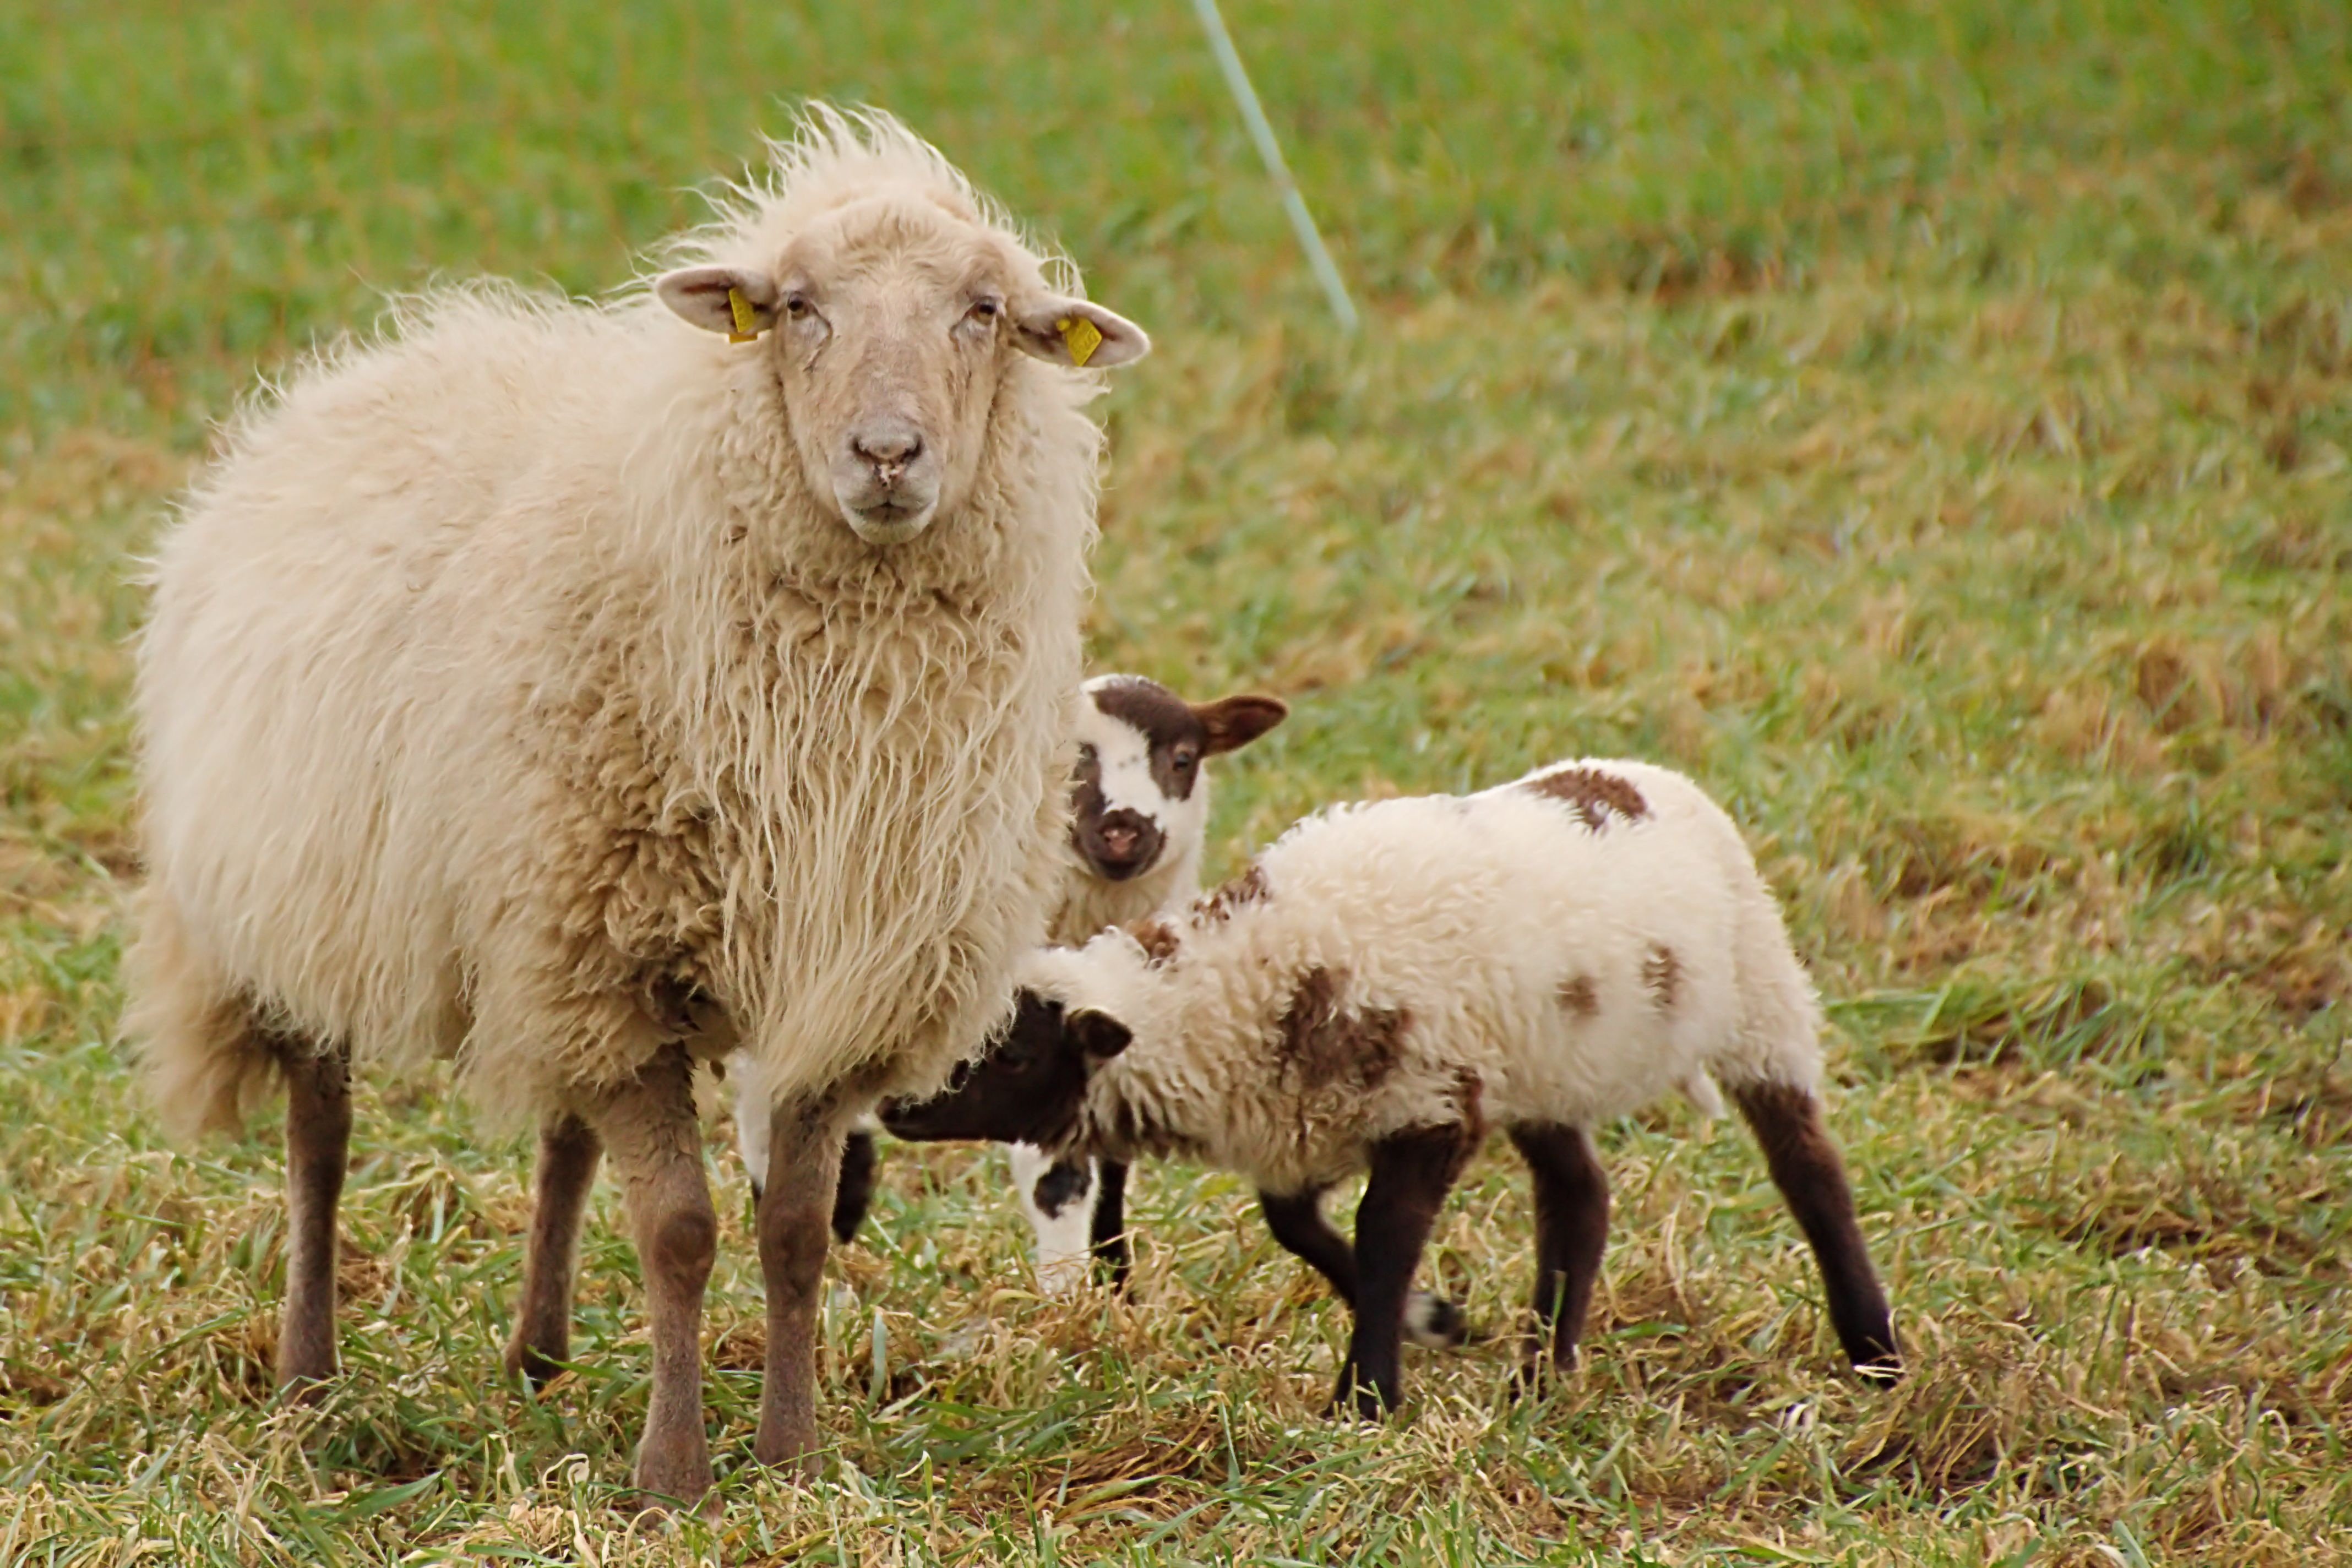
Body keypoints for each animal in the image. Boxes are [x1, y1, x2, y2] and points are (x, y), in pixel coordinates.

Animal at [126, 110, 1147, 1504]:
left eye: (982, 311)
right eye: (798, 308)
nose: (888, 454)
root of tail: (372, 364)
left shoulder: (826, 971)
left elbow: (792, 1228)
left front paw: (791, 1450)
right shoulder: (612, 965)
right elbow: (679, 1229)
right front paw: (673, 1471)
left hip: (548, 918)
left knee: (567, 1138)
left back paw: (538, 1351)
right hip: (303, 899)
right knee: (320, 1132)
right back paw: (309, 1373)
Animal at [733, 677, 1289, 1297]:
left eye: (1183, 759)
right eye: (1072, 759)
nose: (1124, 830)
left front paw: (1114, 1282)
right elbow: (1056, 1172)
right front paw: (1064, 1292)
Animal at [875, 761, 1900, 1419]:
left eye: (1015, 1054)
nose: (892, 1106)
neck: (1240, 986)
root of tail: (1645, 779)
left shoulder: (1429, 1101)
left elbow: (1383, 1236)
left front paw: (1366, 1394)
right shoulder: (1316, 1115)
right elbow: (1295, 1226)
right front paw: (1432, 1322)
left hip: (1761, 998)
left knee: (1809, 1170)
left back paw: (1873, 1350)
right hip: (1541, 1065)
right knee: (1580, 1197)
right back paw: (1542, 1372)